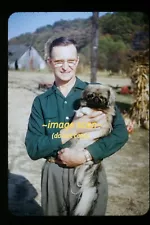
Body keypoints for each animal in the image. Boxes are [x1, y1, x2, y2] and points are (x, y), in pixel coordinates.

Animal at [68, 83, 115, 215]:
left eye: (103, 98)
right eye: (91, 96)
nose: (96, 99)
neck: (95, 105)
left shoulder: (102, 113)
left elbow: (90, 110)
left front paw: (82, 111)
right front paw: (80, 112)